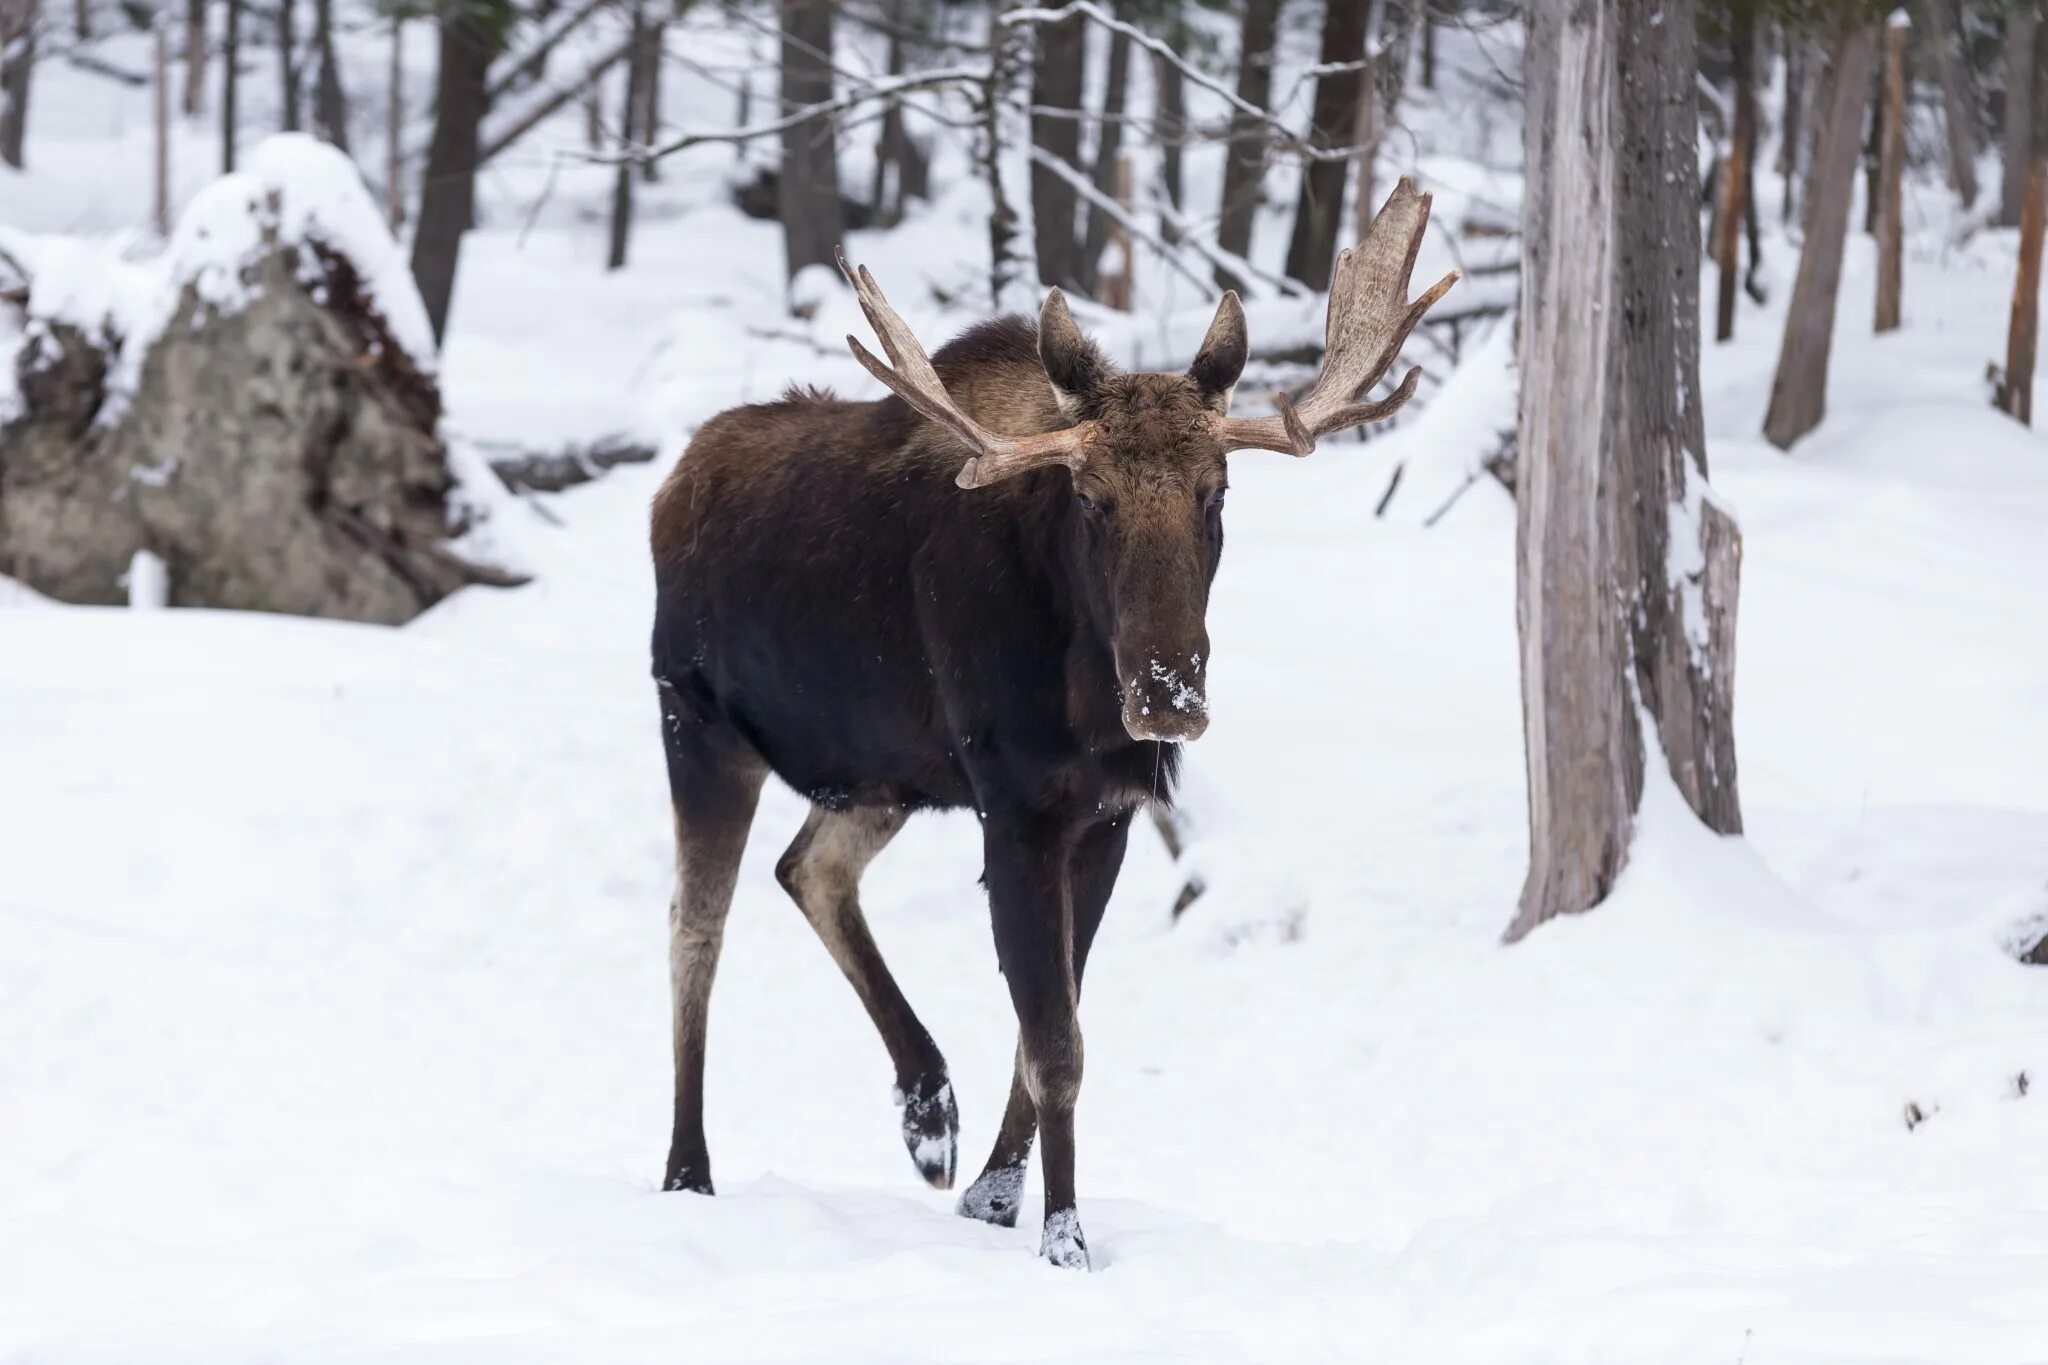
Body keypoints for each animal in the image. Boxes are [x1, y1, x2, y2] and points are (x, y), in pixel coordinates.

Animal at [647, 179, 1449, 1268]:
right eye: (1090, 498)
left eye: (1217, 492)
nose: (1167, 695)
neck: (1081, 695)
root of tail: (668, 483)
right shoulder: (1017, 804)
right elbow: (1058, 1044)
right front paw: (1064, 1236)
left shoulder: (1101, 813)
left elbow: (1047, 1024)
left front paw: (993, 1195)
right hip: (697, 723)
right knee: (696, 930)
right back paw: (687, 1169)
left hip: (881, 777)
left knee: (807, 868)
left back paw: (926, 1112)